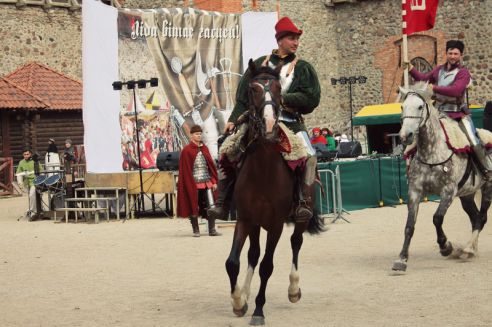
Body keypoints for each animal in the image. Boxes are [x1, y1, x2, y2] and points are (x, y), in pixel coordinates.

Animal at [225, 60, 324, 326]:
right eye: (253, 89)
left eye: (279, 89)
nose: (269, 126)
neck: (263, 169)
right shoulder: (245, 219)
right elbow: (233, 262)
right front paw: (238, 302)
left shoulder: (276, 224)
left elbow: (267, 266)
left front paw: (258, 310)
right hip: (256, 225)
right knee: (252, 254)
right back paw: (245, 294)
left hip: (299, 218)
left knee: (296, 242)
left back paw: (293, 289)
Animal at [392, 83, 492, 272]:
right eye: (402, 106)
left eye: (420, 106)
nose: (405, 136)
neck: (432, 153)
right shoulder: (415, 192)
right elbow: (409, 226)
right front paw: (401, 259)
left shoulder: (448, 192)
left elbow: (437, 218)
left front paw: (445, 246)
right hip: (467, 195)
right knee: (475, 217)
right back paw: (470, 249)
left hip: (487, 188)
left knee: (481, 218)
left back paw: (468, 249)